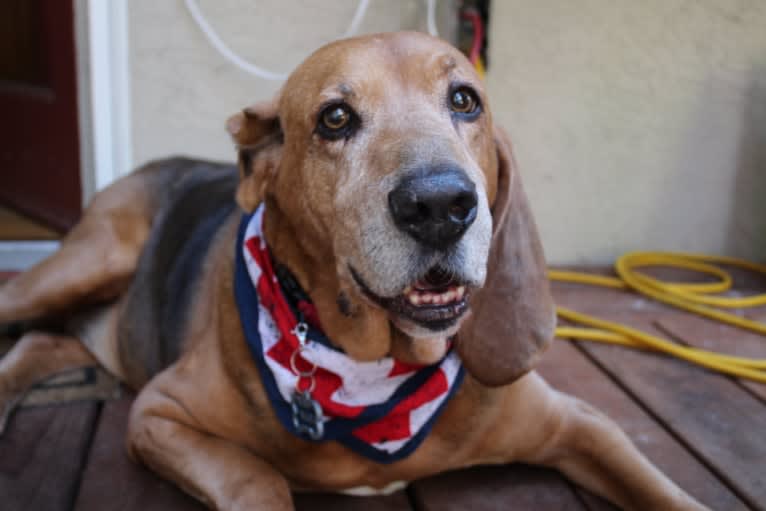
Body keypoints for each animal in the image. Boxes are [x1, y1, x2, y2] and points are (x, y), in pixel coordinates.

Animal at [0, 32, 708, 511]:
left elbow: (666, 491)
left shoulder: (583, 425)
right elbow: (258, 477)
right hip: (92, 260)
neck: (381, 366)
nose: (440, 205)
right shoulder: (159, 413)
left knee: (44, 340)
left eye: (465, 100)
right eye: (335, 117)